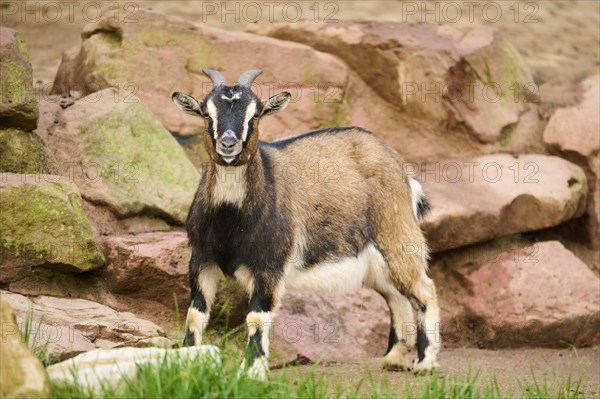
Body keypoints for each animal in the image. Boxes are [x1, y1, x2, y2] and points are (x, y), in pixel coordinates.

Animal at [171, 69, 438, 382]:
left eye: (255, 115)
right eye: (206, 113)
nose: (228, 145)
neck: (230, 221)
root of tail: (401, 169)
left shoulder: (269, 264)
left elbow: (257, 317)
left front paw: (252, 372)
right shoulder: (202, 259)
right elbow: (195, 314)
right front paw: (187, 367)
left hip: (397, 235)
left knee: (424, 290)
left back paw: (425, 363)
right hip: (376, 261)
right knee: (397, 295)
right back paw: (394, 358)